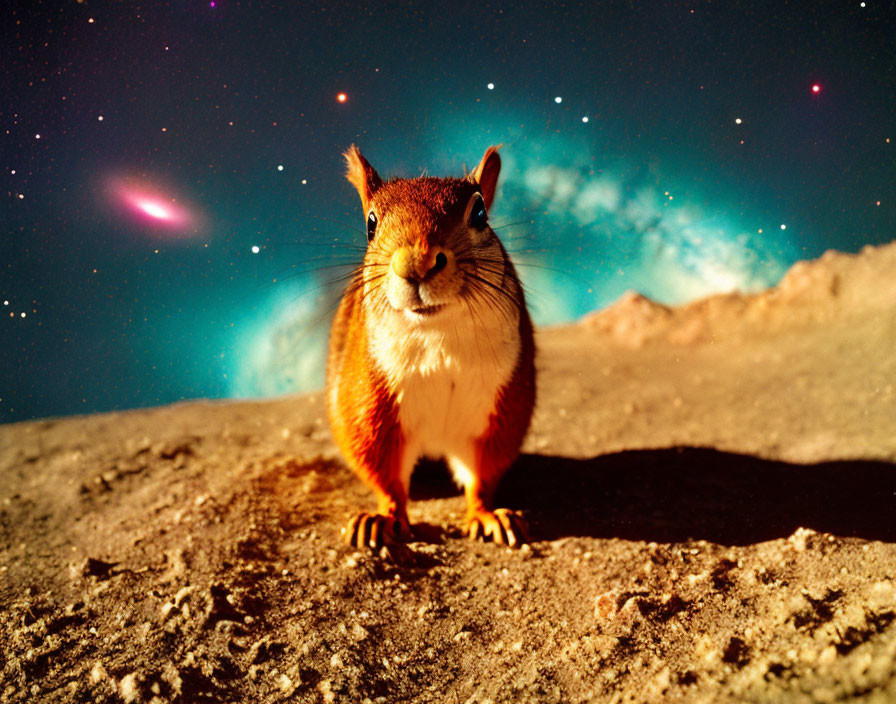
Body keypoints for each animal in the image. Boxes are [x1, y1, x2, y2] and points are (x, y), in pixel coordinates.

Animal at [328, 144, 540, 552]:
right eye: (371, 224)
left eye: (479, 212)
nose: (416, 263)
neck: (437, 333)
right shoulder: (370, 403)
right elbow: (385, 476)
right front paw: (382, 519)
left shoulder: (502, 408)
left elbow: (482, 476)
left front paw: (488, 515)